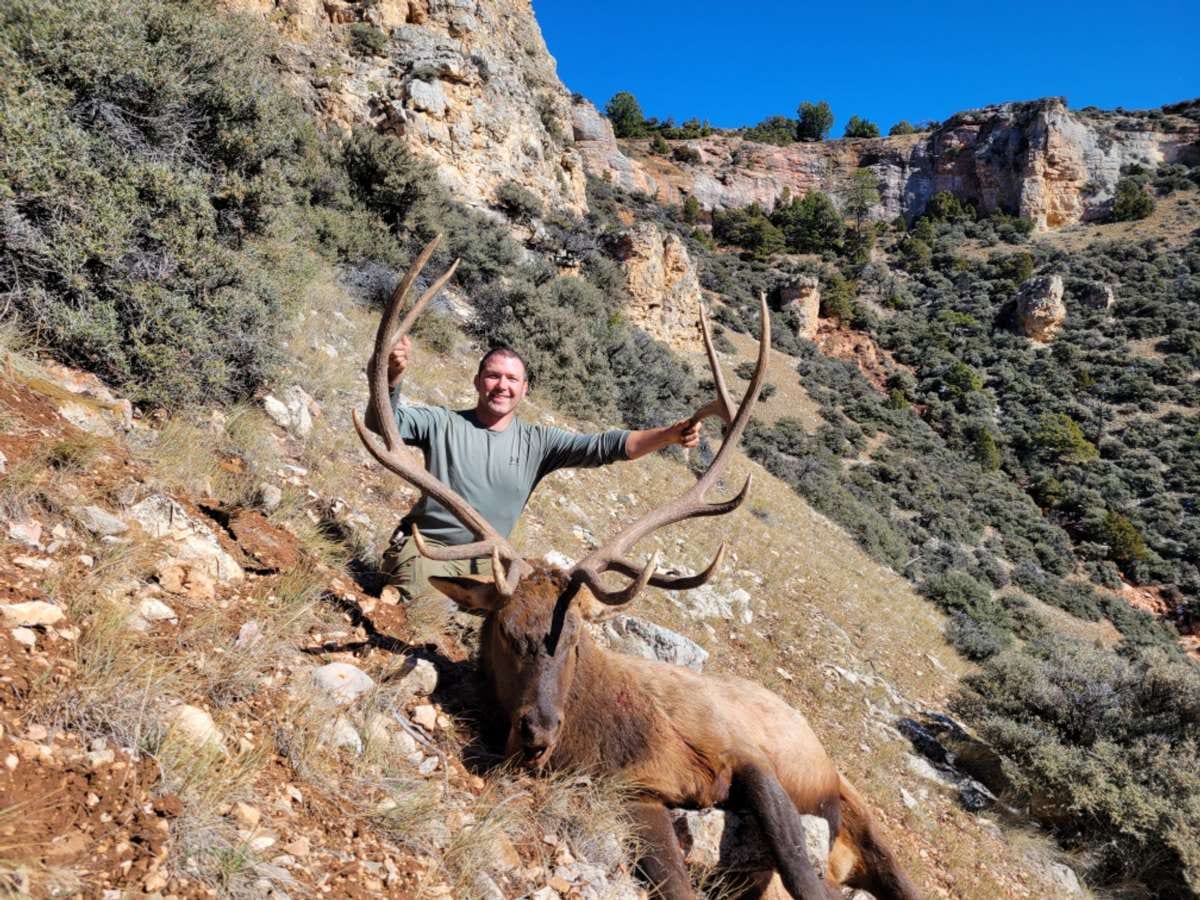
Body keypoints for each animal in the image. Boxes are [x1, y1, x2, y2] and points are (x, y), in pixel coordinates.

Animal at [353, 236, 921, 900]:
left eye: (573, 640)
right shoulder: (634, 794)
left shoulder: (744, 752)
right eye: (505, 633)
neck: (616, 738)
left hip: (852, 802)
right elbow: (676, 883)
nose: (538, 731)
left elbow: (798, 867)